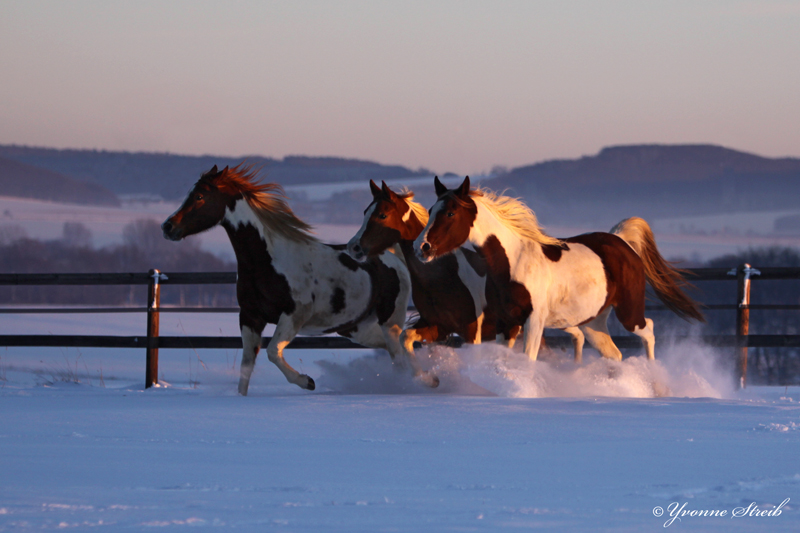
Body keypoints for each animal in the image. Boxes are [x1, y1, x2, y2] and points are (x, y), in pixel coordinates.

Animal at [162, 164, 438, 392]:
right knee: (393, 350)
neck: (267, 260)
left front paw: (307, 381)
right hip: (355, 328)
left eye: (199, 196)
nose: (167, 227)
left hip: (390, 319)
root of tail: (393, 257)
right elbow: (246, 369)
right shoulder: (250, 318)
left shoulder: (293, 316)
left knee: (399, 352)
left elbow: (273, 352)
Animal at [346, 181, 520, 352]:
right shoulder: (435, 327)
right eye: (365, 212)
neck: (442, 277)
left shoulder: (472, 332)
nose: (353, 247)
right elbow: (405, 338)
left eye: (382, 215)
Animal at [416, 177, 704, 364]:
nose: (422, 247)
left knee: (649, 331)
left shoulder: (534, 321)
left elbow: (529, 361)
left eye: (450, 213)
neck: (513, 262)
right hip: (593, 322)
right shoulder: (504, 322)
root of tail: (621, 241)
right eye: (430, 210)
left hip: (629, 312)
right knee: (615, 353)